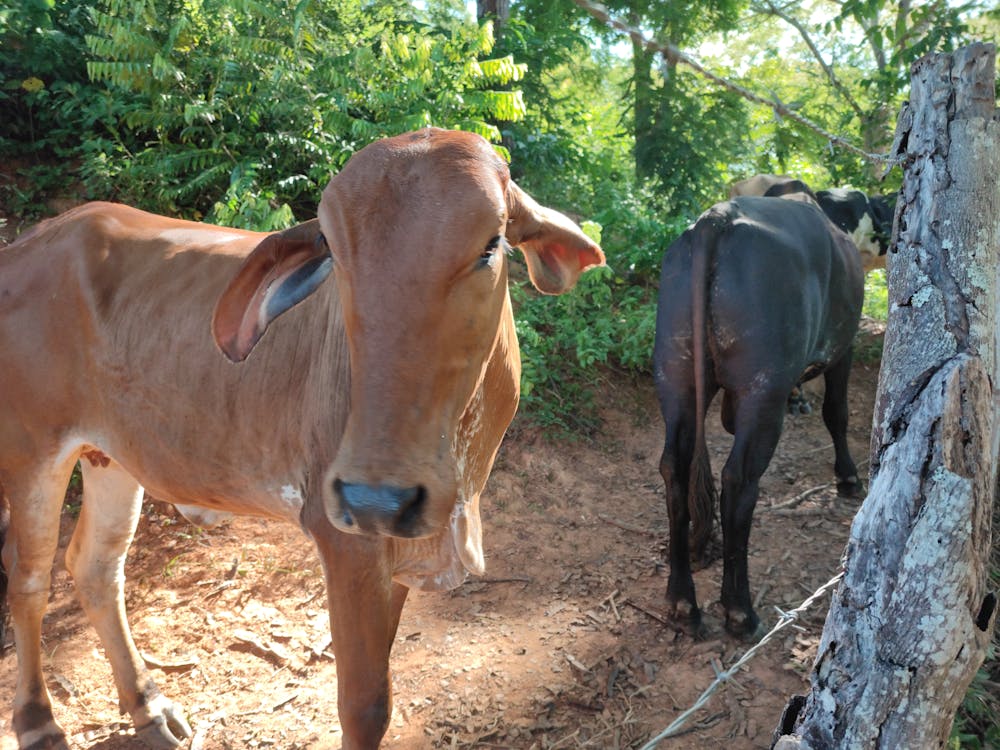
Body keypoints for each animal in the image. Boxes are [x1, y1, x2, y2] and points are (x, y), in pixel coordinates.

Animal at [0, 131, 600, 750]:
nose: (375, 499)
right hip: (31, 453)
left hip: (111, 459)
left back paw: (148, 704)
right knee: (28, 577)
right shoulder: (345, 539)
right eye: (333, 250)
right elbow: (364, 706)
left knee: (96, 566)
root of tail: (26, 245)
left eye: (492, 244)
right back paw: (38, 721)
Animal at [652, 194, 864, 640]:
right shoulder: (844, 347)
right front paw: (848, 477)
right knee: (739, 480)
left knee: (675, 469)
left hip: (676, 376)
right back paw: (739, 611)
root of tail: (717, 219)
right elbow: (836, 412)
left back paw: (682, 600)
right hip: (762, 390)